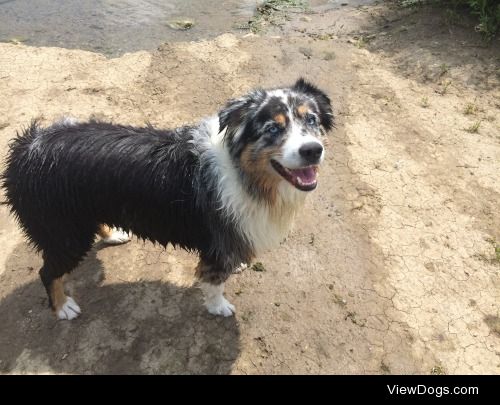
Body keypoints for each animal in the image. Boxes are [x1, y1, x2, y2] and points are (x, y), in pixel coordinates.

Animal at [2, 78, 336, 318]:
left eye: (312, 120)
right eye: (273, 128)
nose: (312, 150)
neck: (247, 174)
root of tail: (28, 146)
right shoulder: (216, 242)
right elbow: (214, 280)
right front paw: (219, 307)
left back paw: (113, 234)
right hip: (64, 232)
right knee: (48, 272)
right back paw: (63, 307)